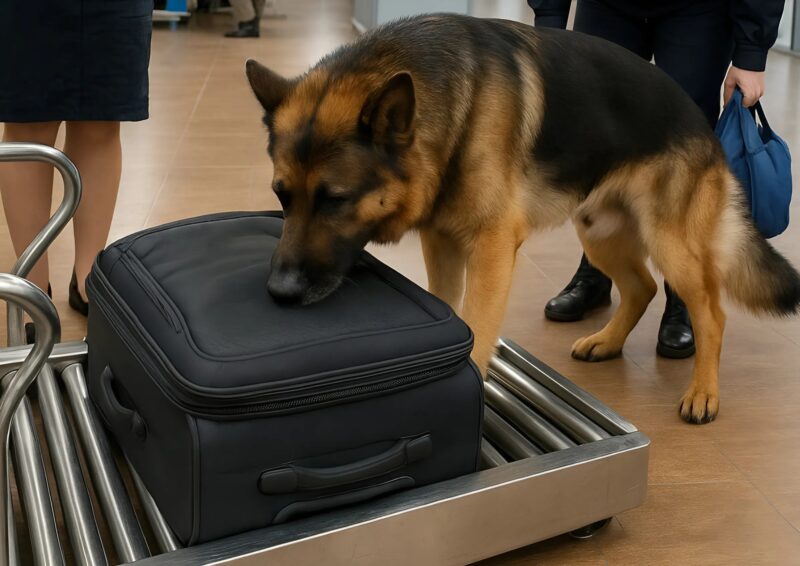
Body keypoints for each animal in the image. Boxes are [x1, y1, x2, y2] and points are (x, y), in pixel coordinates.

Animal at [245, 14, 800, 424]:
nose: (279, 292)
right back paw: (607, 341)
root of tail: (701, 118)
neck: (450, 107)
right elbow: (451, 312)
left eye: (335, 200)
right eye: (281, 197)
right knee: (641, 287)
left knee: (710, 311)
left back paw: (704, 392)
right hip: (599, 232)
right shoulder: (441, 243)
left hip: (670, 244)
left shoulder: (491, 249)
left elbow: (477, 326)